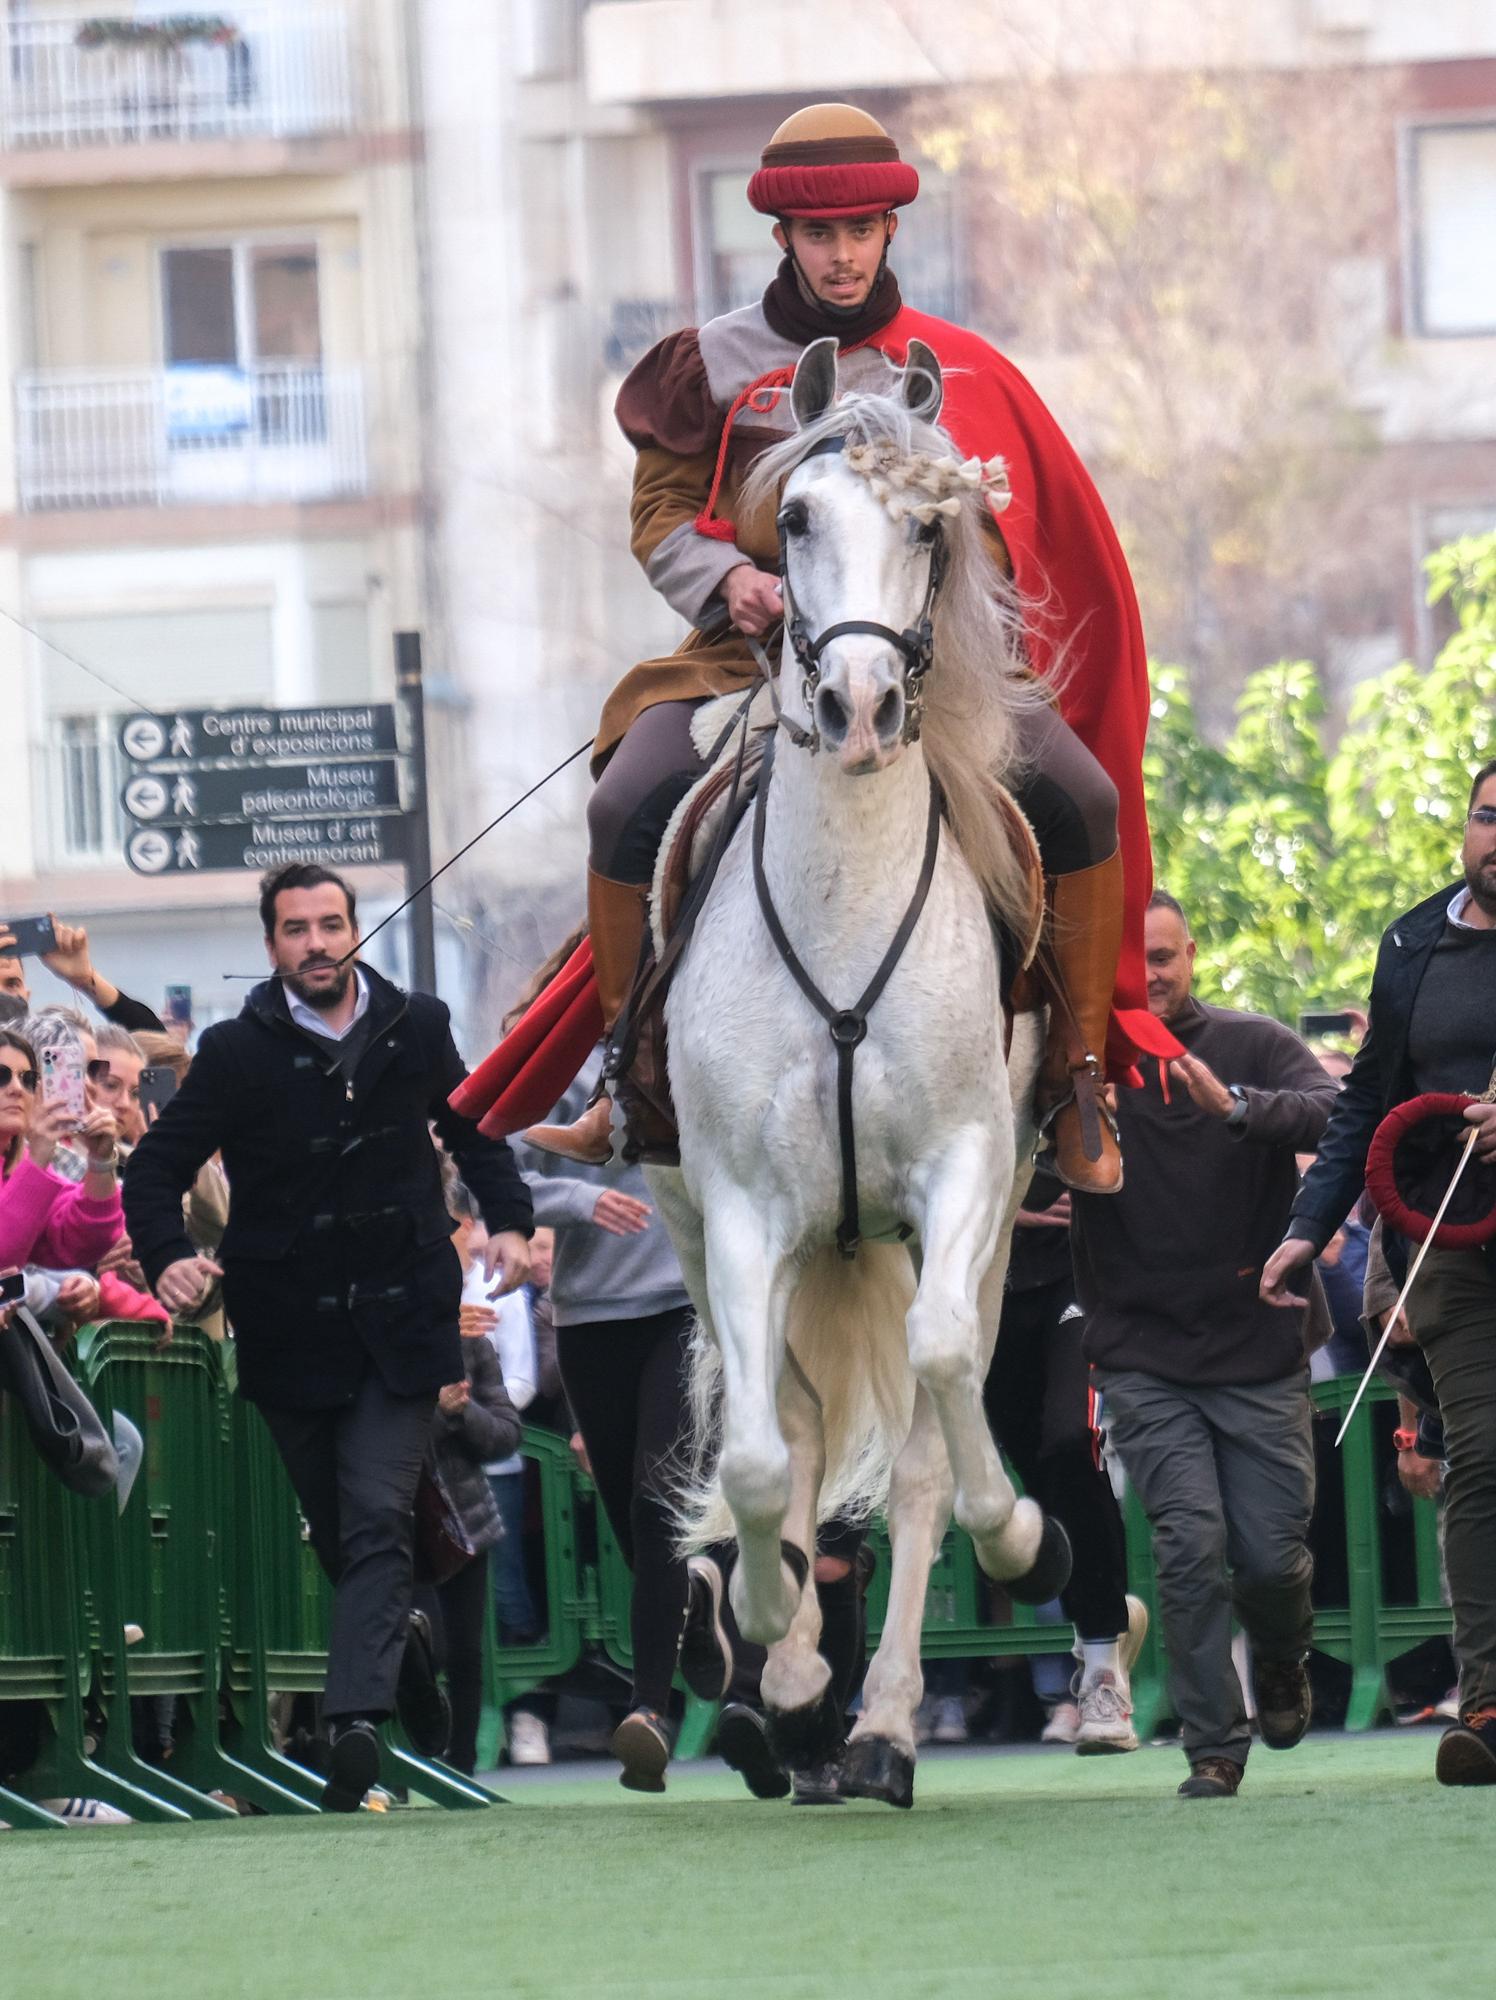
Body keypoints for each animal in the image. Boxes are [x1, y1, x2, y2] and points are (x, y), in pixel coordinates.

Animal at [648, 336, 1072, 1808]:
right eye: (792, 520)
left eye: (932, 529)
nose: (862, 707)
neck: (843, 902)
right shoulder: (740, 1211)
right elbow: (759, 1455)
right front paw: (765, 1641)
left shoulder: (970, 1172)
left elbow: (941, 1407)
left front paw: (1024, 1535)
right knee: (789, 1423)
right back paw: (778, 1687)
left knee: (929, 1431)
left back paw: (882, 1726)